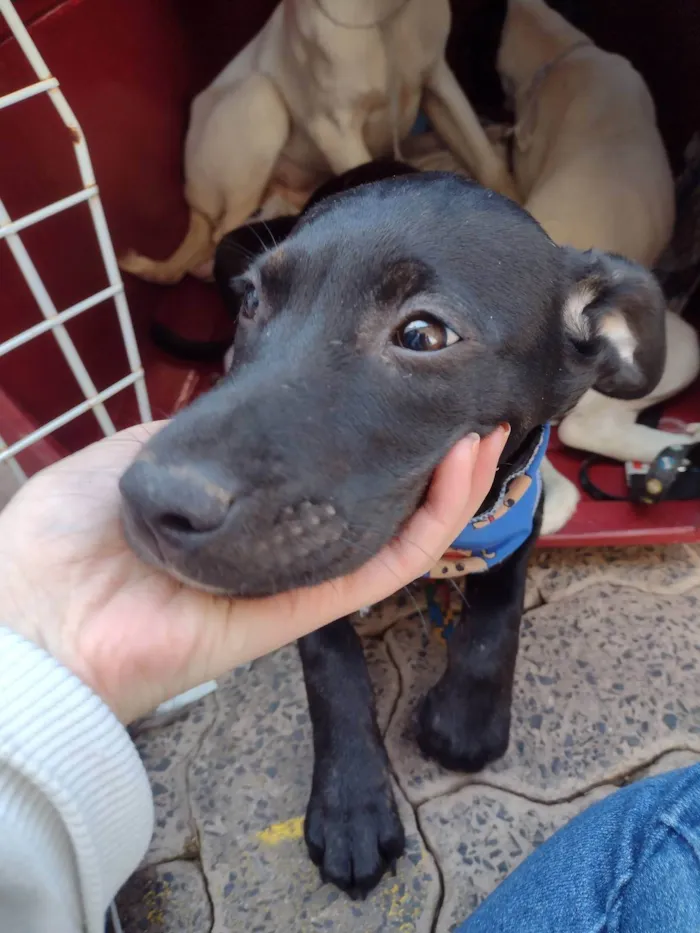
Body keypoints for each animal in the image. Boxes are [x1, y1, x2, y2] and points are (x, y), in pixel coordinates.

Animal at [119, 0, 516, 284]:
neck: (382, 16)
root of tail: (192, 200)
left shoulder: (439, 81)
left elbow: (487, 161)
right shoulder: (335, 129)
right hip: (261, 99)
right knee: (215, 242)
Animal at [120, 167, 668, 896]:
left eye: (424, 336)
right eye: (253, 302)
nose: (150, 501)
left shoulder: (520, 513)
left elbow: (498, 619)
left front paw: (466, 714)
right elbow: (333, 671)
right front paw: (350, 806)